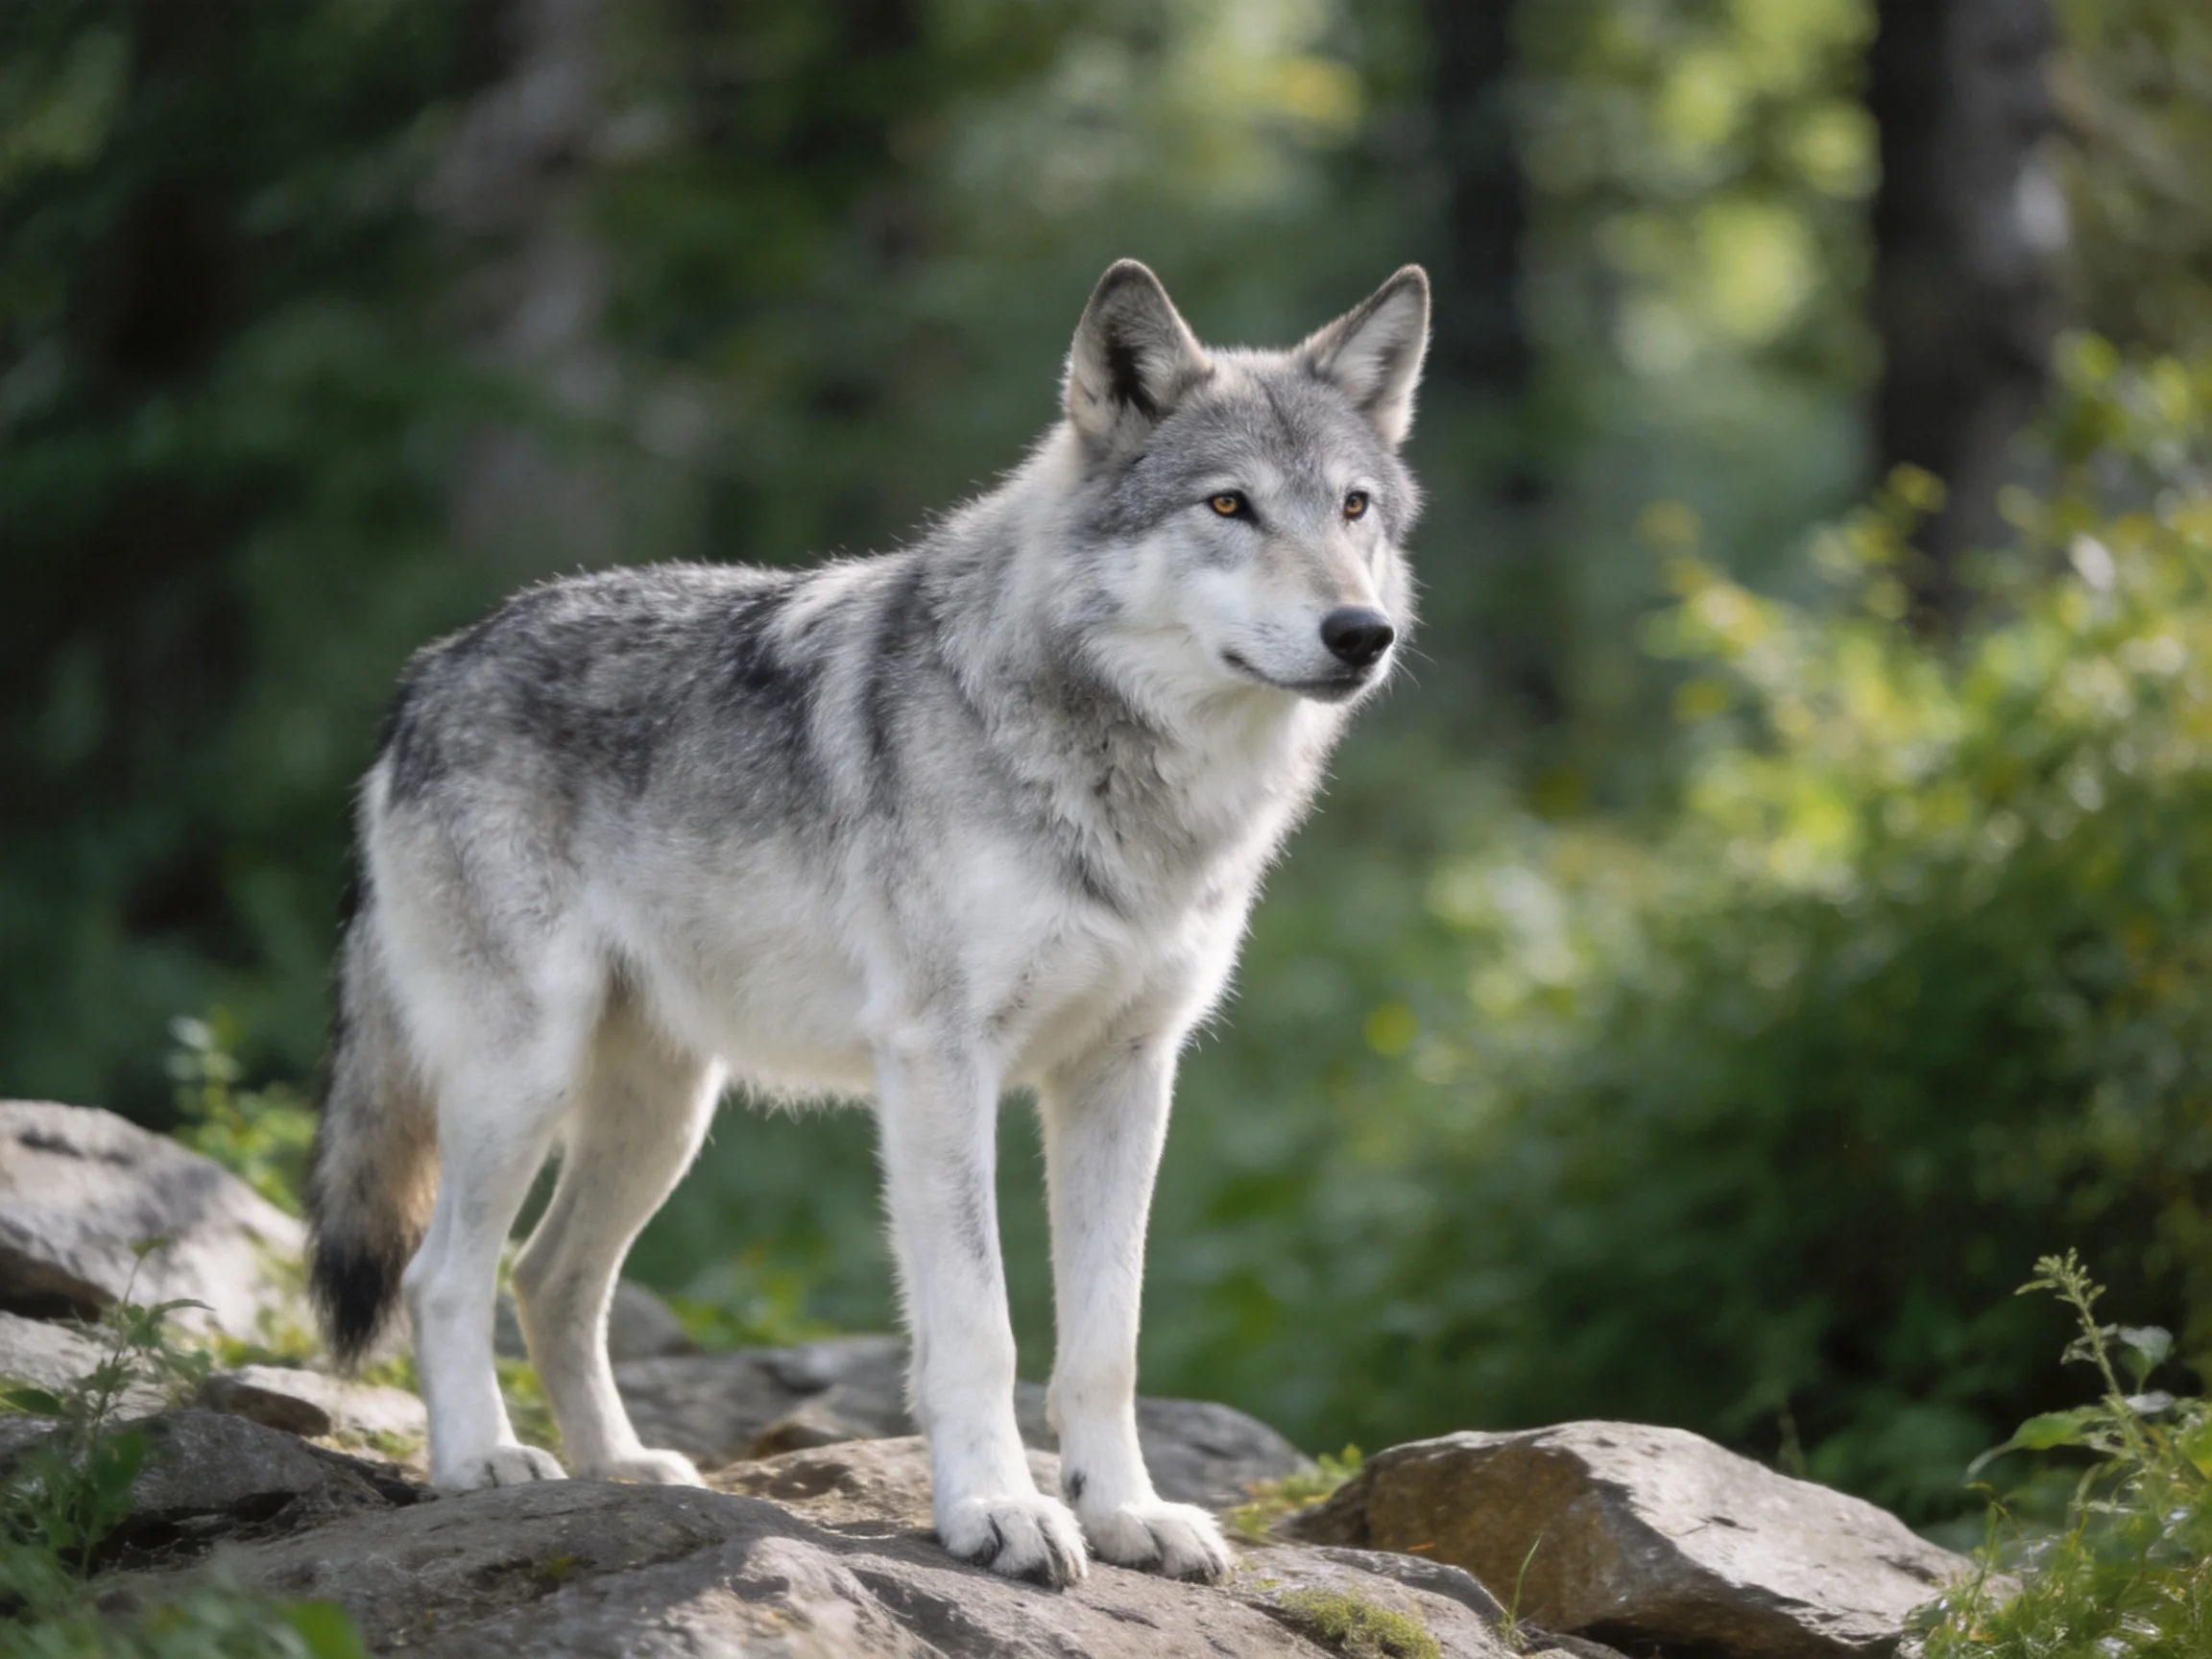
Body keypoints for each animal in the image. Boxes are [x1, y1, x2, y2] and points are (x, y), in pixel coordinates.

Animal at [305, 259, 1428, 1588]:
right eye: (1229, 505)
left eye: (1353, 507)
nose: (1362, 634)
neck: (1130, 777)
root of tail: (427, 671)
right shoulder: (940, 1064)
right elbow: (983, 1327)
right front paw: (998, 1512)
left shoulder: (1127, 1072)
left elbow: (1108, 1338)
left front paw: (1126, 1515)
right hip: (525, 1077)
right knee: (446, 1272)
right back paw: (482, 1463)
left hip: (663, 1120)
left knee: (551, 1277)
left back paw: (618, 1469)